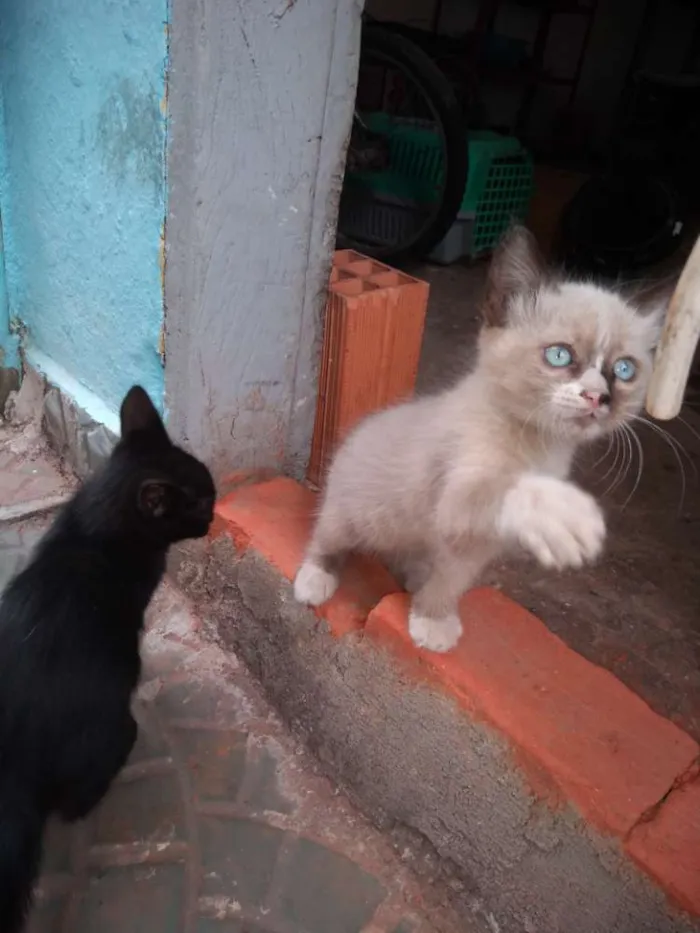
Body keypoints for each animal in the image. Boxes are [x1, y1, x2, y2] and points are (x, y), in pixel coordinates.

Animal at [294, 228, 660, 648]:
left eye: (624, 369)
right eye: (559, 356)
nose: (598, 397)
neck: (540, 445)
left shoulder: (477, 544)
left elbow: (452, 582)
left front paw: (433, 617)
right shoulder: (456, 496)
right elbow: (505, 489)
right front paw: (563, 516)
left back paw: (414, 578)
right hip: (352, 509)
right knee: (328, 535)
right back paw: (315, 578)